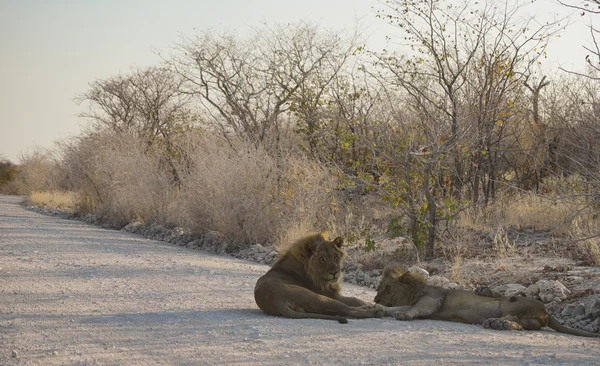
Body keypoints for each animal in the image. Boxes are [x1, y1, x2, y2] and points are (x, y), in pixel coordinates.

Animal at [253, 234, 384, 324]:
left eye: (335, 256)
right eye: (322, 259)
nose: (334, 273)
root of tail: (275, 300)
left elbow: (355, 299)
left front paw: (367, 303)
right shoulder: (331, 294)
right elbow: (353, 300)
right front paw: (370, 304)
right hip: (317, 297)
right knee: (347, 310)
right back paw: (375, 310)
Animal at [376, 264, 600, 338]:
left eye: (386, 286)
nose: (375, 297)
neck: (414, 291)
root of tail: (547, 313)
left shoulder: (433, 300)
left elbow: (416, 309)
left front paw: (404, 314)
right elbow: (397, 307)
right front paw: (379, 309)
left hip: (511, 304)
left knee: (512, 313)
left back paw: (495, 321)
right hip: (528, 319)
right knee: (520, 324)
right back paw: (499, 323)